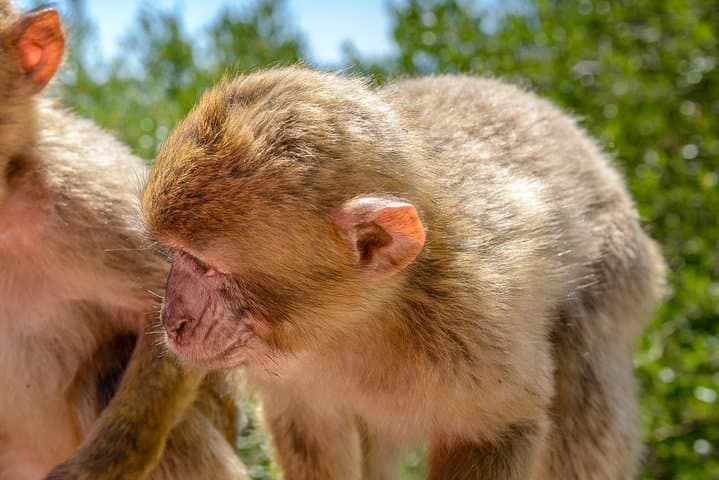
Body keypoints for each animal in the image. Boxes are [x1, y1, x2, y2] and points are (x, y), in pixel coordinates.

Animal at [141, 66, 666, 479]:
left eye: (204, 266)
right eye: (176, 257)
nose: (173, 321)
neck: (357, 320)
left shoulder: (477, 329)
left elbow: (502, 427)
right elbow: (312, 428)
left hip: (622, 269)